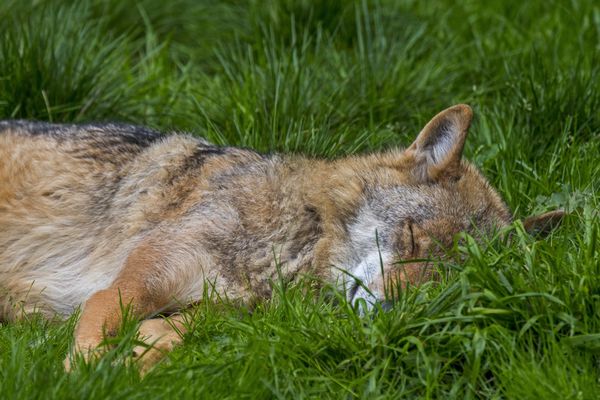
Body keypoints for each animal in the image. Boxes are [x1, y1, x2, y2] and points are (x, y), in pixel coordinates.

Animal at [0, 104, 564, 372]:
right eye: (411, 238)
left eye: (447, 282)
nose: (390, 312)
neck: (292, 244)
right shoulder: (127, 285)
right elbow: (99, 329)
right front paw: (87, 374)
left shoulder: (217, 316)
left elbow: (165, 340)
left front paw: (131, 367)